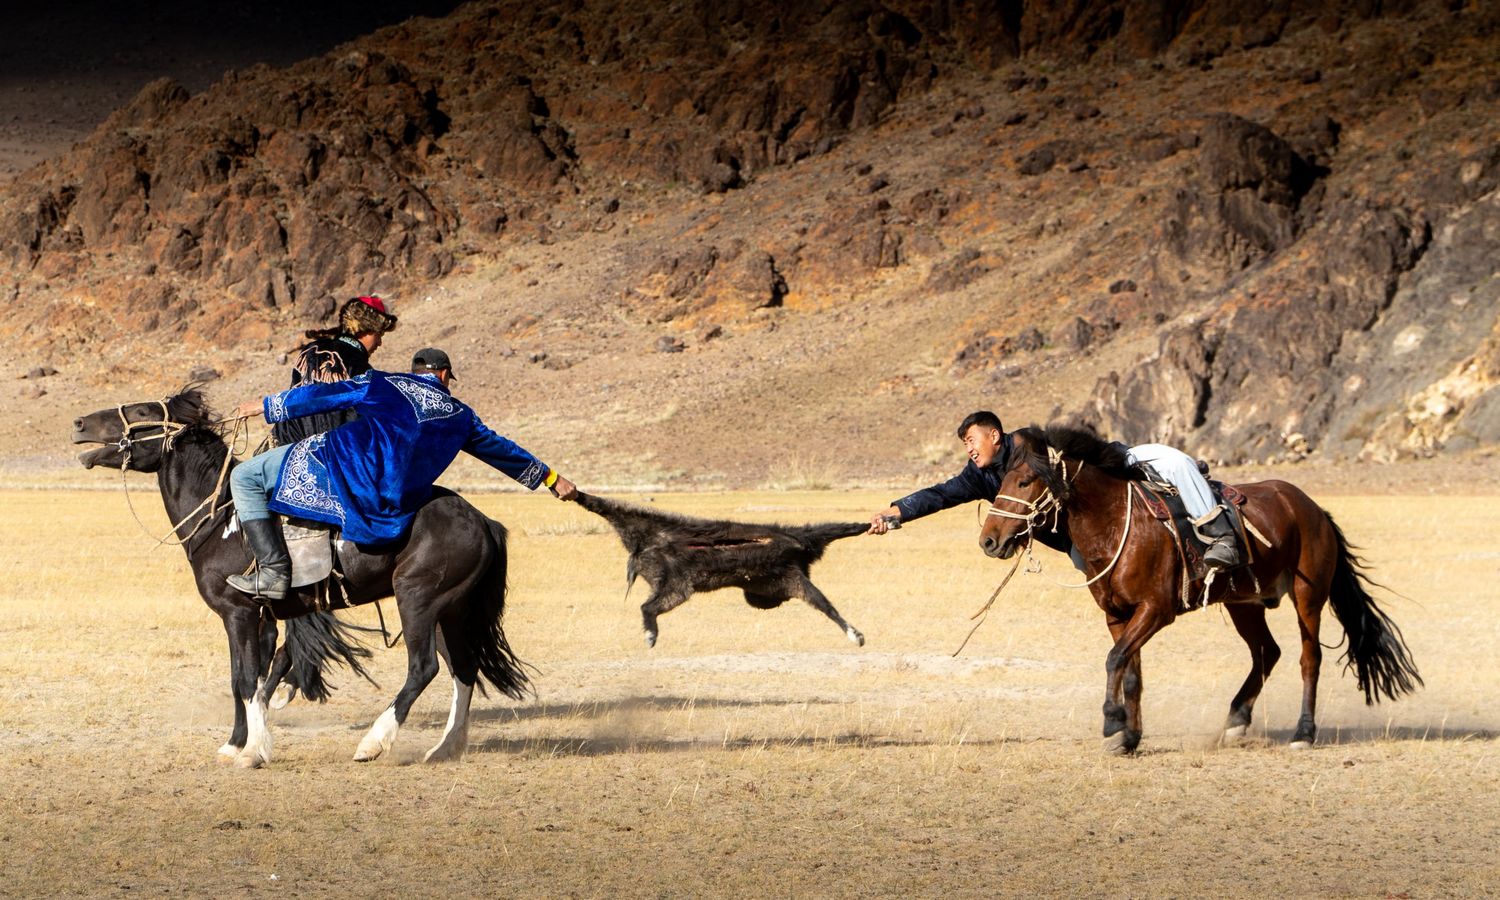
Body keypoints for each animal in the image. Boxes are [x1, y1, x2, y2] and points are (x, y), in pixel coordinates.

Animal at [573, 491, 868, 647]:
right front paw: (856, 635)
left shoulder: (796, 558)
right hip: (677, 584)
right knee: (648, 606)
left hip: (655, 535)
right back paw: (650, 634)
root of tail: (643, 549)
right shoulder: (795, 569)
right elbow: (825, 603)